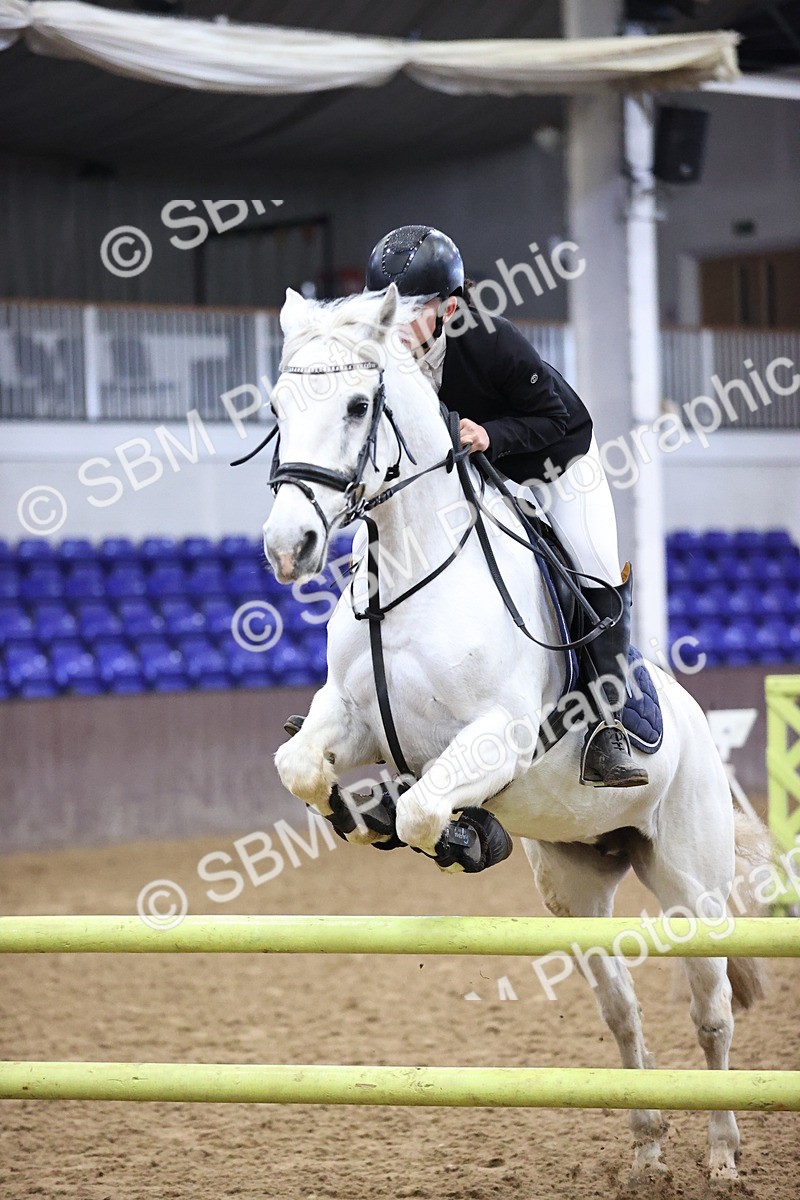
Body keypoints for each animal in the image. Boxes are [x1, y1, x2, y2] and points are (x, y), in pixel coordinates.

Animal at [259, 283, 770, 1183]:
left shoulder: (497, 733)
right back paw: (647, 1148)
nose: (291, 548)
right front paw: (365, 815)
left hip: (689, 884)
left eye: (358, 405)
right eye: (279, 408)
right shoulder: (352, 718)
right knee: (622, 1011)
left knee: (710, 1010)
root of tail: (697, 726)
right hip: (578, 887)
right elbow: (305, 767)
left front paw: (466, 835)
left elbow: (427, 807)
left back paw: (722, 1153)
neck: (410, 570)